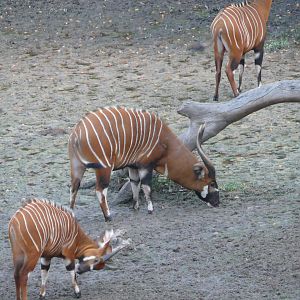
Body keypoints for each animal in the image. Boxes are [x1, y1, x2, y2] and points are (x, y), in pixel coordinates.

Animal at [67, 105, 218, 220]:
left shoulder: (133, 166)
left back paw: (72, 215)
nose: (217, 202)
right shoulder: (146, 166)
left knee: (74, 187)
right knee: (100, 190)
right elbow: (147, 186)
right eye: (211, 183)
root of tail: (77, 133)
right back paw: (108, 216)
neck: (165, 142)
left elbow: (135, 184)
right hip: (104, 168)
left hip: (77, 167)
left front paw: (135, 207)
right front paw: (151, 209)